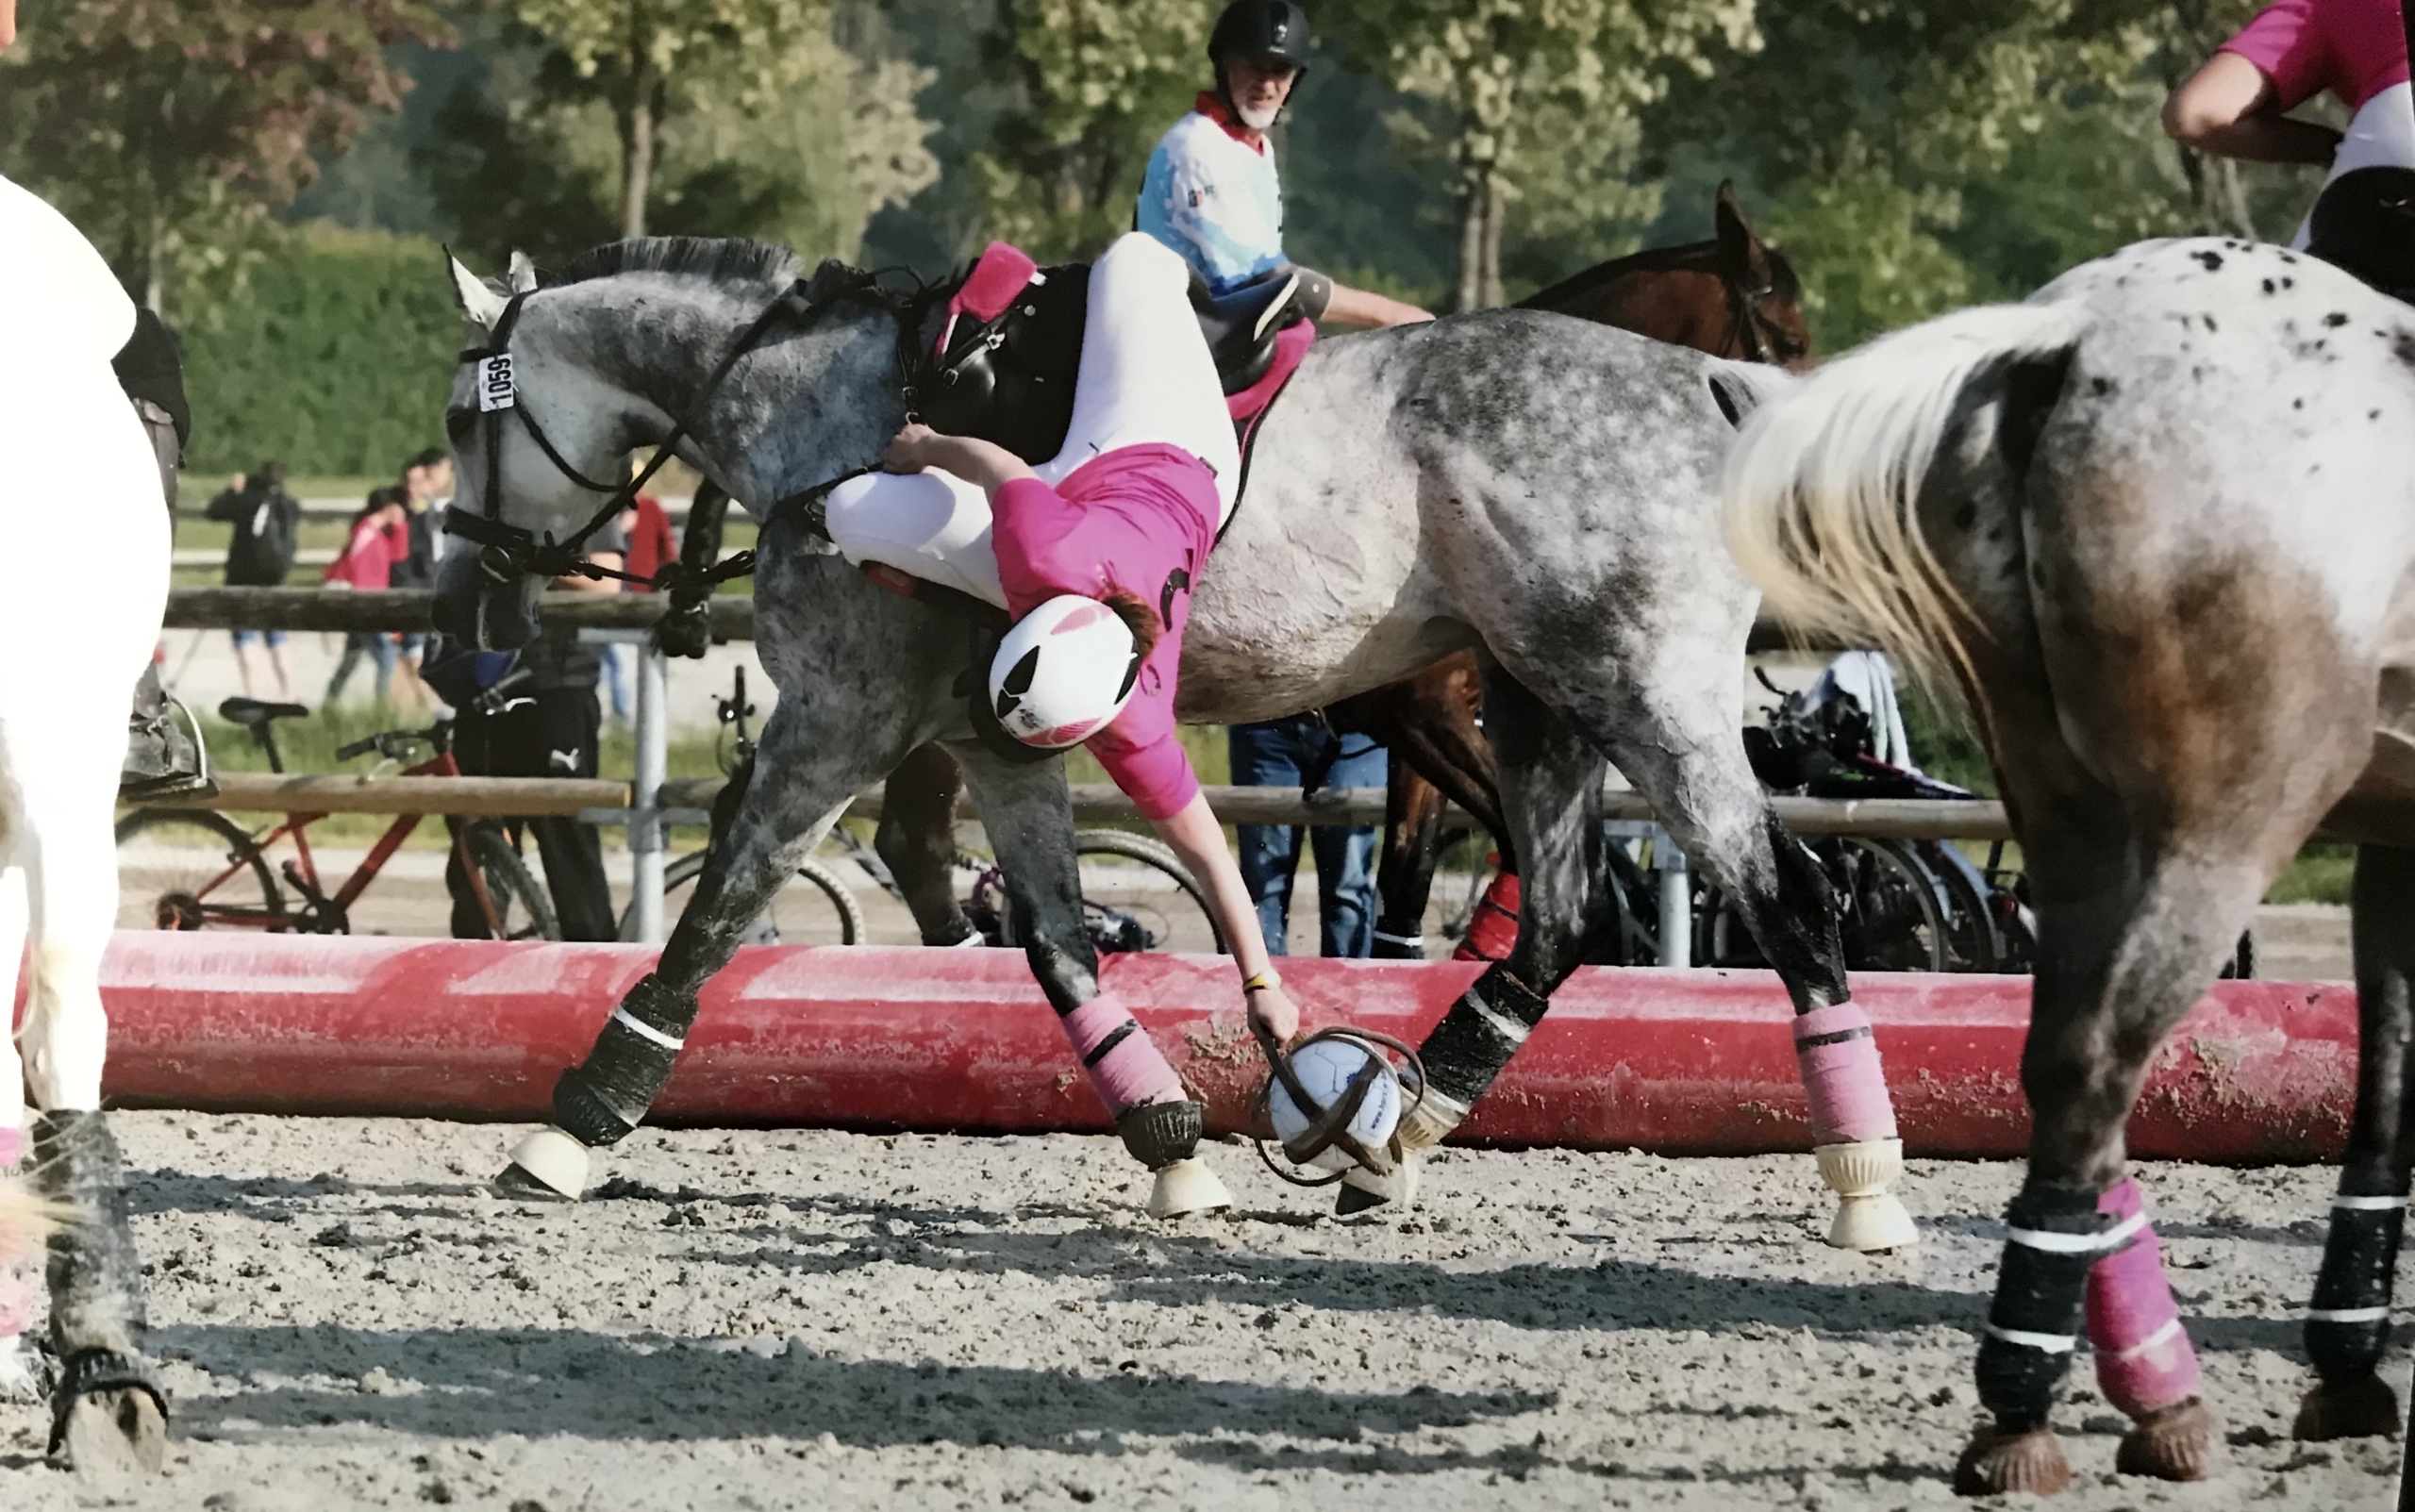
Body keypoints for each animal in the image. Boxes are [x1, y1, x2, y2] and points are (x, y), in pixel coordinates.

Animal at [429, 229, 1903, 1246]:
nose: (461, 630)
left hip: (1641, 697)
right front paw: (1174, 1143)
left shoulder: (839, 720)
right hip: (1547, 702)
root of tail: (1713, 384)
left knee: (1787, 898)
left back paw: (1865, 1185)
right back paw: (1403, 1125)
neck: (823, 416)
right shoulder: (998, 743)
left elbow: (719, 911)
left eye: (456, 418)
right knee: (1559, 914)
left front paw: (576, 1127)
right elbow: (1060, 946)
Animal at [1719, 233, 2415, 1487]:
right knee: (2095, 1065)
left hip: (2072, 822)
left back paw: (2123, 1392)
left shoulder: (2390, 843)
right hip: (2217, 826)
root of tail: (2067, 337)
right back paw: (2035, 1399)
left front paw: (2346, 1364)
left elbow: (2384, 1080)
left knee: (2064, 1069)